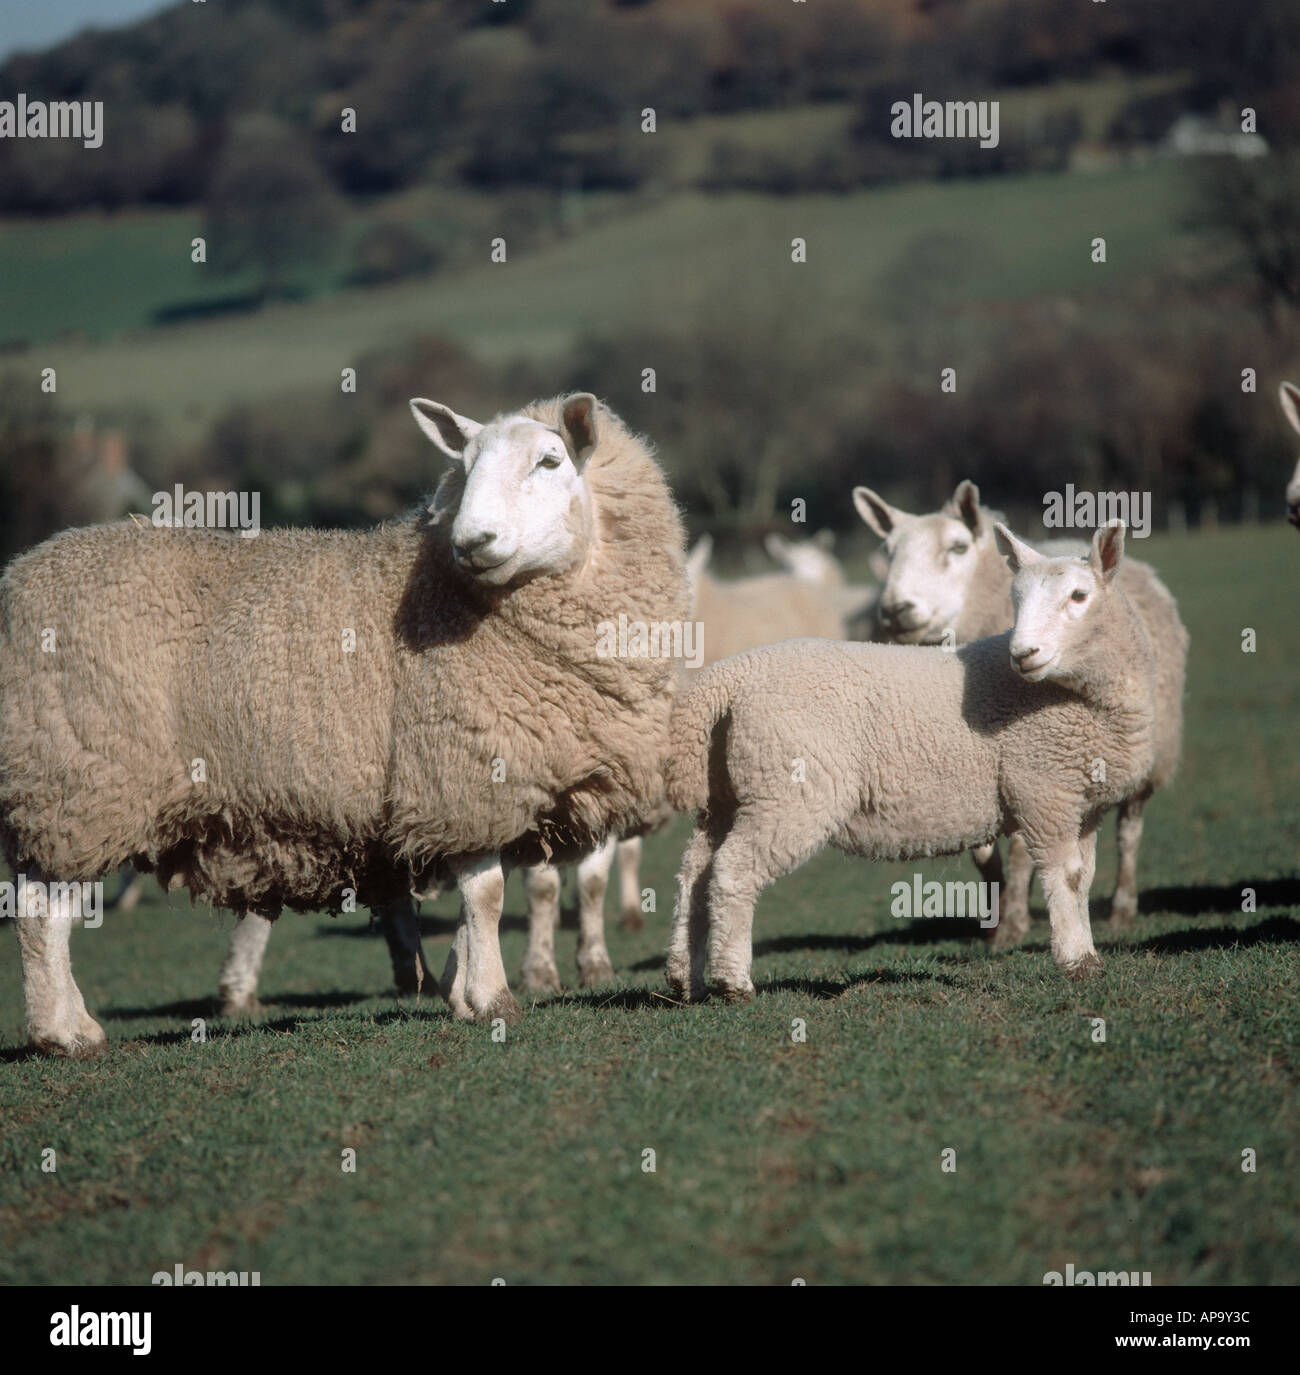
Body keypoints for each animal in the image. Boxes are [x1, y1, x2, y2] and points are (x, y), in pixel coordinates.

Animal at [2, 393, 690, 1056]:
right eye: (464, 468)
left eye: (550, 461)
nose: (472, 540)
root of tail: (18, 576)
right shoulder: (461, 772)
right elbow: (487, 896)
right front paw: (492, 999)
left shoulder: (467, 791)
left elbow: (472, 901)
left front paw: (458, 986)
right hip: (75, 782)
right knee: (43, 911)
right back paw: (65, 1034)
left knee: (45, 906)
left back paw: (67, 1028)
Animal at [665, 519, 1150, 1006]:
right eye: (1015, 600)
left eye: (1079, 596)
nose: (1023, 654)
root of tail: (729, 677)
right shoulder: (1043, 791)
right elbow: (1065, 876)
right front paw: (1076, 960)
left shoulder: (1084, 804)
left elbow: (1084, 878)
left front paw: (1088, 955)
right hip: (787, 790)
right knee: (733, 870)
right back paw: (733, 981)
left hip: (726, 794)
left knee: (694, 873)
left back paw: (684, 978)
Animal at [852, 478, 1188, 940]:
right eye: (889, 551)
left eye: (958, 547)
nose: (896, 610)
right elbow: (984, 853)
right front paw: (997, 918)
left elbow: (1019, 850)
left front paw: (1012, 922)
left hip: (1151, 751)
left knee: (1129, 830)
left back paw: (1121, 906)